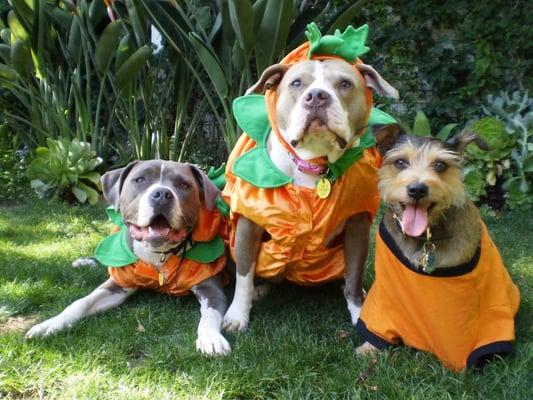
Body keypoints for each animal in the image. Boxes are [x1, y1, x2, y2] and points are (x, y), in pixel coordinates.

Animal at [26, 159, 231, 356]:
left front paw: (211, 338)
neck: (160, 256)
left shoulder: (211, 289)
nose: (162, 194)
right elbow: (81, 302)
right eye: (140, 179)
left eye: (184, 185)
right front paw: (49, 324)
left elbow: (210, 315)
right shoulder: (118, 283)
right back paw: (85, 262)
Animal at [220, 57, 400, 332]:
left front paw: (359, 311)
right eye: (296, 83)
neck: (314, 164)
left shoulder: (357, 224)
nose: (316, 96)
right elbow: (243, 275)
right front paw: (237, 315)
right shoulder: (249, 224)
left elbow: (355, 276)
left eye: (345, 83)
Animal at [356, 126, 516, 372]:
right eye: (400, 162)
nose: (417, 189)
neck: (424, 237)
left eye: (440, 165)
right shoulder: (386, 289)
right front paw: (369, 347)